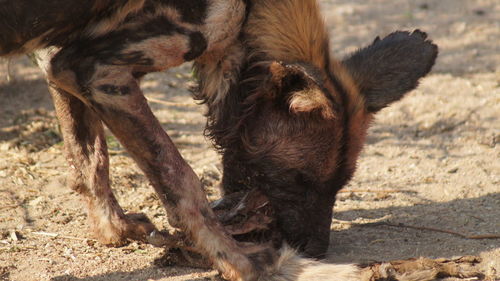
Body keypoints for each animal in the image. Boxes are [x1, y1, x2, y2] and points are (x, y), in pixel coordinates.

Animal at [0, 0, 438, 280]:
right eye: (296, 180)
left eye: (340, 186)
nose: (315, 249)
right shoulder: (100, 70)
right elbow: (183, 182)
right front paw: (240, 263)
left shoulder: (62, 63)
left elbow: (90, 164)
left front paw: (115, 231)